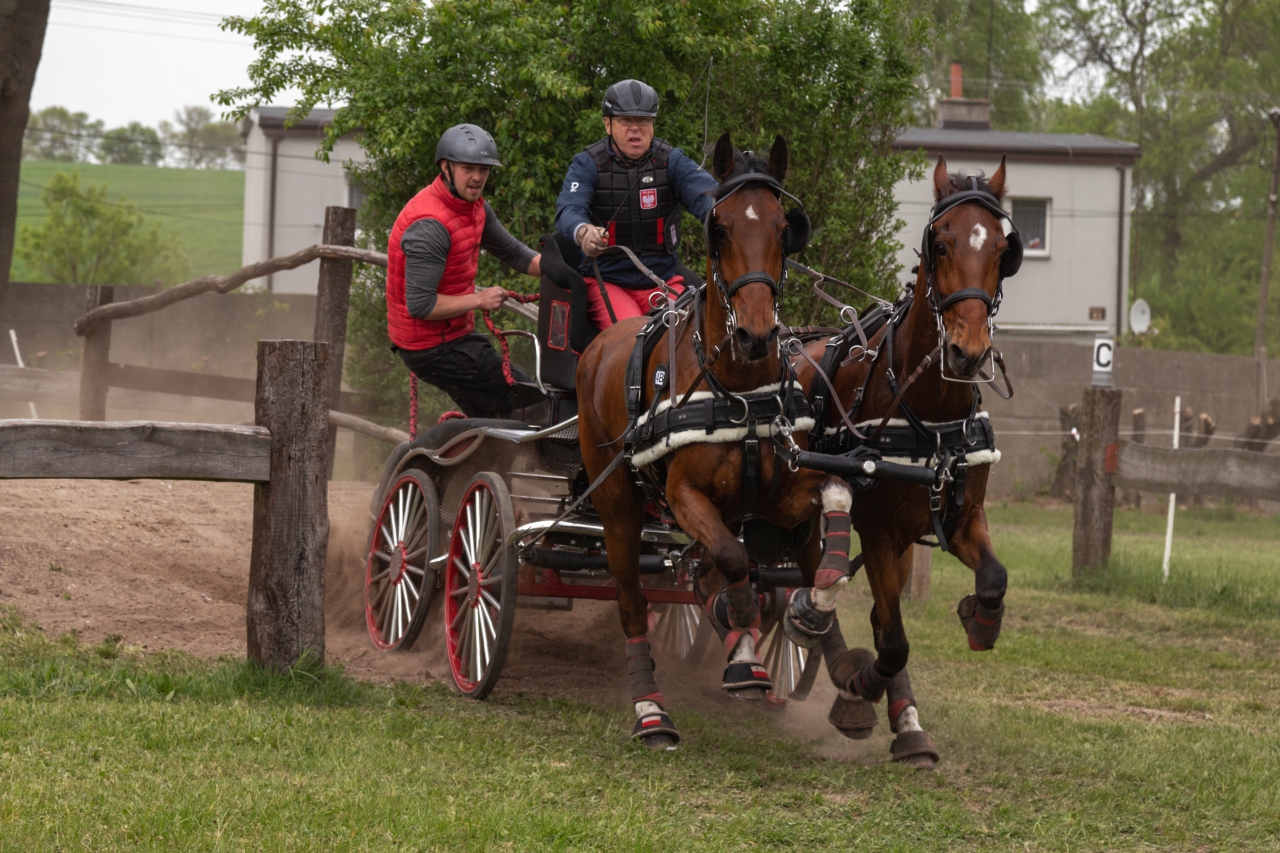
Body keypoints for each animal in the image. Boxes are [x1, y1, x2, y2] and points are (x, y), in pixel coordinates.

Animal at [576, 131, 844, 742]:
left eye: (783, 227)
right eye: (718, 227)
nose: (756, 334)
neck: (738, 388)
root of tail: (600, 344)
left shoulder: (782, 497)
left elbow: (828, 511)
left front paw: (806, 616)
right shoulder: (684, 496)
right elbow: (732, 557)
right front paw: (742, 636)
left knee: (695, 572)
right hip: (618, 505)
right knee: (633, 599)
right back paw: (651, 710)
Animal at [783, 156, 1024, 768]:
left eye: (1003, 250)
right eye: (939, 243)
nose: (967, 352)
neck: (926, 412)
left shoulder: (961, 516)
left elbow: (994, 578)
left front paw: (980, 619)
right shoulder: (878, 527)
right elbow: (890, 638)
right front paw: (860, 689)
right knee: (805, 576)